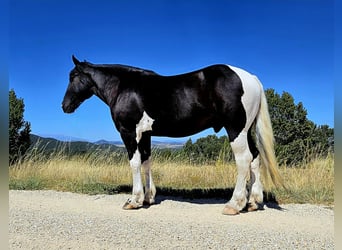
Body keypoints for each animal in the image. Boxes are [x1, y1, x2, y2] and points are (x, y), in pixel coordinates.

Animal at [62, 55, 284, 215]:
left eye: (72, 77)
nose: (65, 106)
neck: (124, 87)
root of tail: (251, 78)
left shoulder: (129, 132)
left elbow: (134, 163)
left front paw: (134, 200)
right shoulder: (146, 134)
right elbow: (146, 162)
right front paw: (148, 198)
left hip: (235, 130)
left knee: (244, 159)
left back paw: (234, 204)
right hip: (246, 131)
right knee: (255, 158)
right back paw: (253, 202)